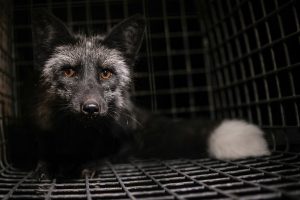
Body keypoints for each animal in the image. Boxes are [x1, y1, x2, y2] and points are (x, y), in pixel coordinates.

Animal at [31, 9, 272, 178]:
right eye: (69, 71)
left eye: (106, 73)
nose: (90, 108)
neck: (82, 137)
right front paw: (50, 165)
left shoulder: (123, 143)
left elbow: (106, 156)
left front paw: (91, 163)